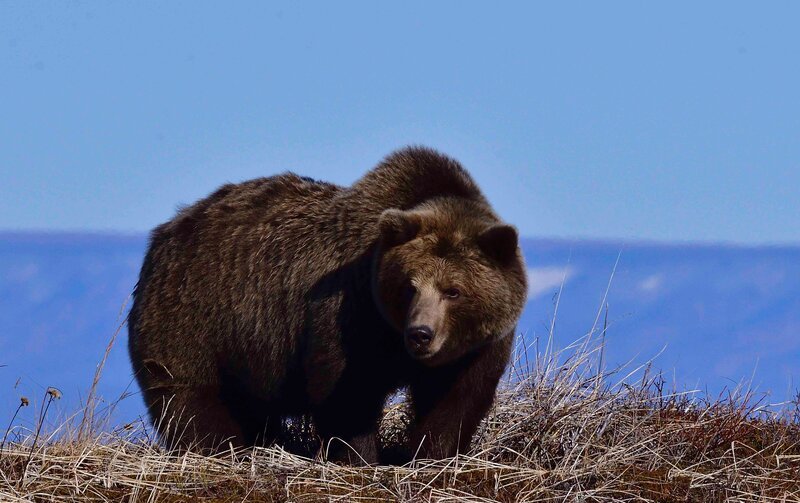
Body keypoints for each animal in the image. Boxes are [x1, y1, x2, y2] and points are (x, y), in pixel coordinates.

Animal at [127, 146, 528, 463]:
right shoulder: (352, 309)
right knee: (192, 399)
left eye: (453, 290)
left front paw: (434, 456)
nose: (421, 334)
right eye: (409, 287)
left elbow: (457, 401)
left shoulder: (476, 347)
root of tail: (169, 229)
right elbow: (347, 389)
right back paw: (219, 448)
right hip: (198, 315)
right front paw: (359, 457)